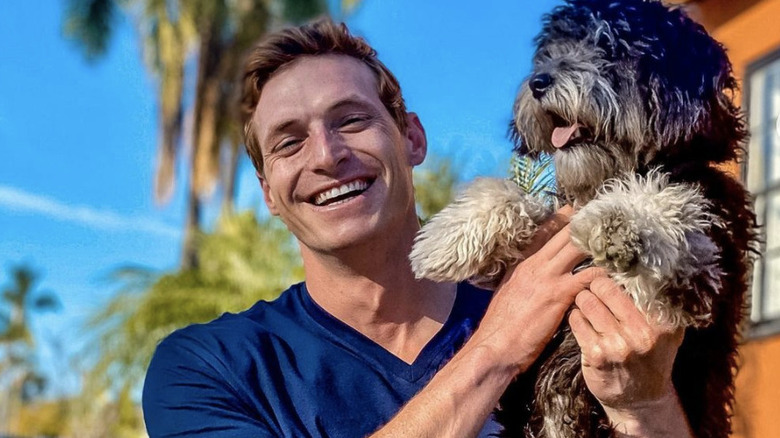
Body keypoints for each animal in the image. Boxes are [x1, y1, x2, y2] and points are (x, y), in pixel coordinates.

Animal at [412, 0, 760, 438]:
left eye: (608, 48)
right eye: (550, 51)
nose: (538, 82)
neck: (609, 174)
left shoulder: (701, 276)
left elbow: (666, 202)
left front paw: (619, 221)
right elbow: (514, 198)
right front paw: (444, 237)